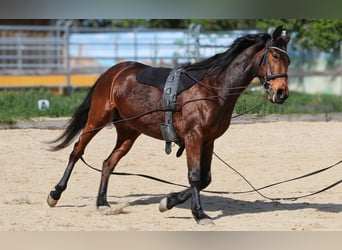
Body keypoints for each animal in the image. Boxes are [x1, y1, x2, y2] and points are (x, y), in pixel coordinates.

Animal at [46, 25, 290, 225]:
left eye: (288, 60)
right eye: (275, 55)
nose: (281, 93)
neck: (212, 89)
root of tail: (113, 72)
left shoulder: (208, 141)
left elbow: (205, 178)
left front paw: (169, 201)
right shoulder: (194, 137)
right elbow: (195, 176)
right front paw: (199, 214)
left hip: (128, 132)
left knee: (108, 163)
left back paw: (102, 202)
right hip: (97, 119)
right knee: (76, 151)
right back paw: (56, 193)